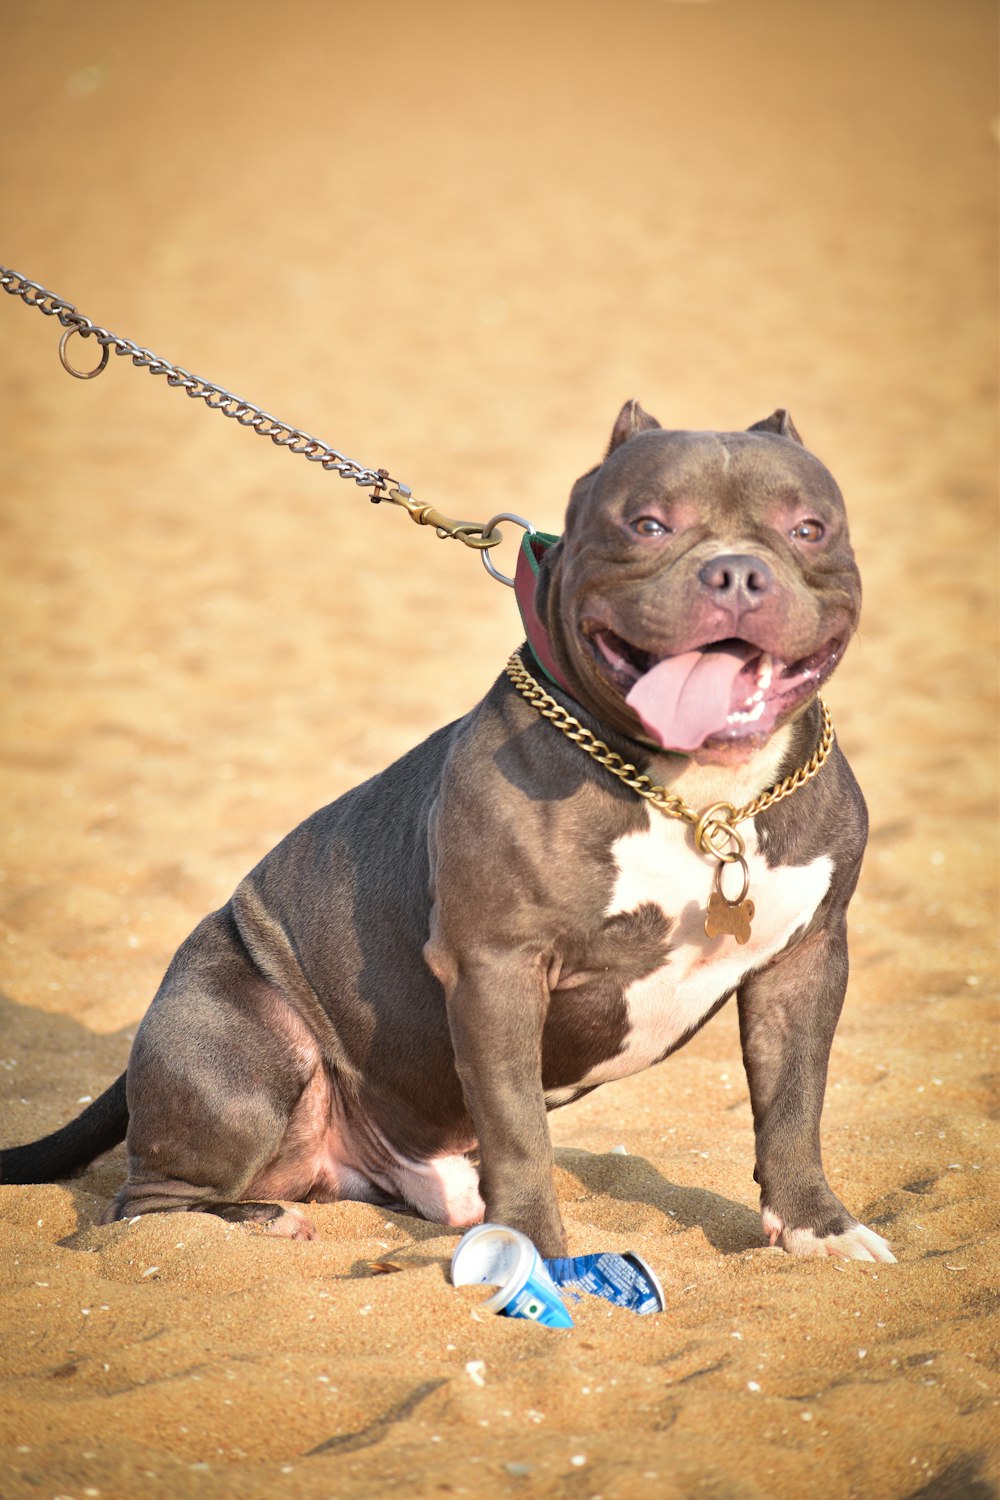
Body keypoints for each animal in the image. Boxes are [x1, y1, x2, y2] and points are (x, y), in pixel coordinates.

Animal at [0, 405, 893, 1260]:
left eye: (808, 529)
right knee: (142, 1206)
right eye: (647, 524)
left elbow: (794, 1106)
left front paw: (817, 1226)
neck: (702, 801)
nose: (737, 572)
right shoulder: (496, 967)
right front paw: (531, 1246)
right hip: (245, 1053)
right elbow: (517, 1127)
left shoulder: (805, 963)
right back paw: (264, 1220)